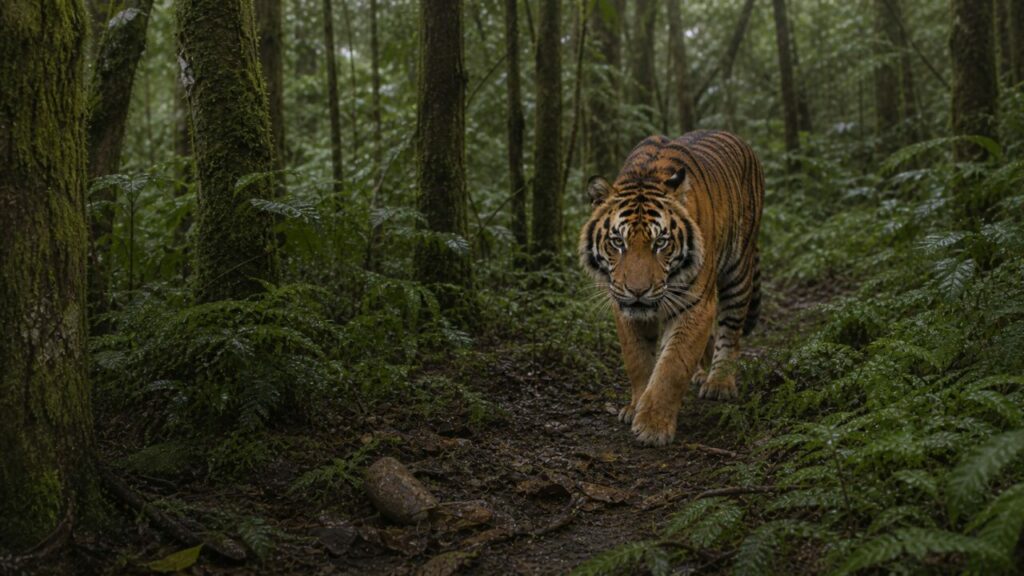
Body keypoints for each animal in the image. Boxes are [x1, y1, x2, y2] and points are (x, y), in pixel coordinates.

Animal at [578, 130, 764, 446]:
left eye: (660, 242)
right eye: (618, 242)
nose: (638, 291)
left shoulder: (695, 305)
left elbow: (672, 366)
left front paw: (653, 426)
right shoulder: (624, 308)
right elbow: (639, 360)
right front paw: (636, 407)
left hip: (738, 271)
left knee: (730, 330)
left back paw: (719, 383)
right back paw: (702, 374)